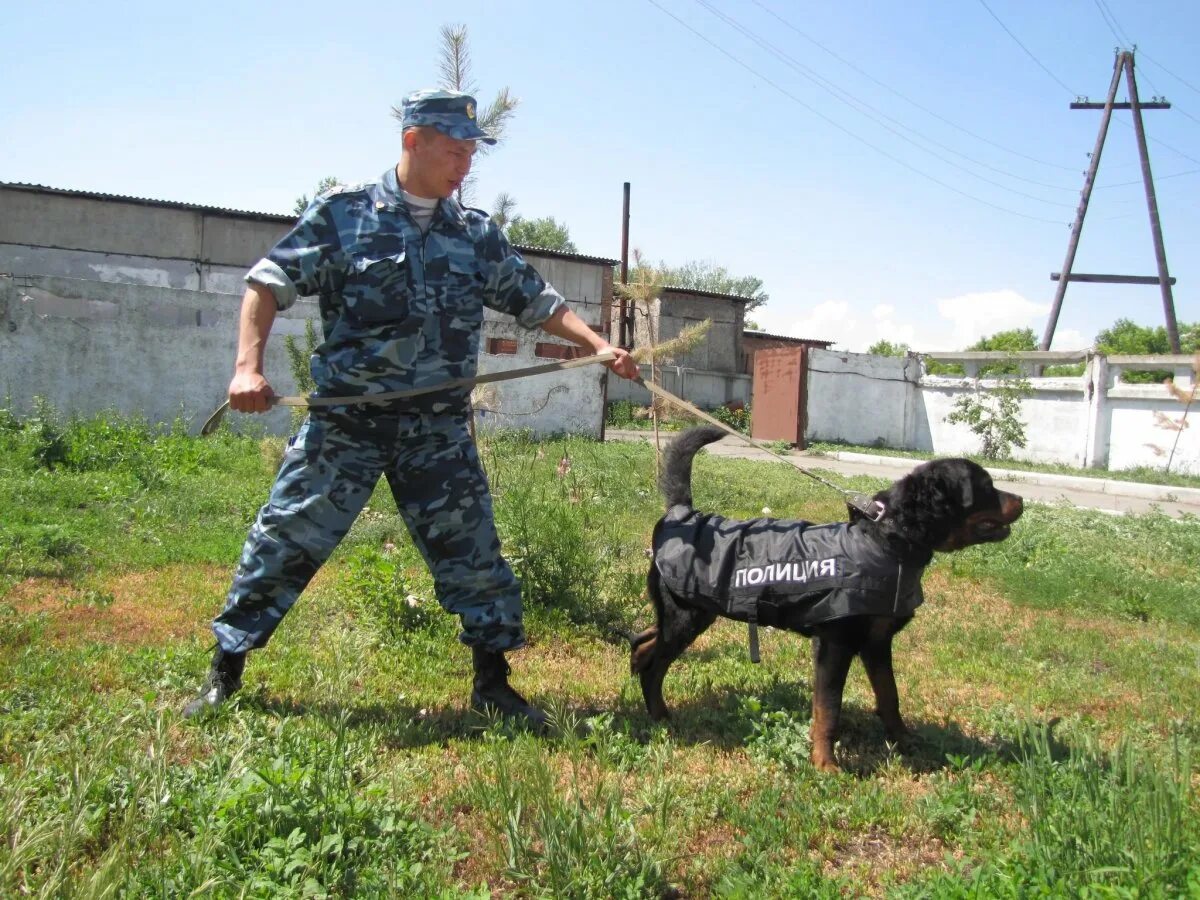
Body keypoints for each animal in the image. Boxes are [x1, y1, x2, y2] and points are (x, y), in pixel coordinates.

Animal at [628, 427, 1022, 772]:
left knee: (644, 643)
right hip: (685, 618)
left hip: (690, 615)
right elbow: (828, 709)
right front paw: (825, 763)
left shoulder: (877, 643)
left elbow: (889, 696)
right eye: (986, 487)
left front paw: (904, 741)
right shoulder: (835, 644)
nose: (1021, 500)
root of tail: (683, 514)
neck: (887, 542)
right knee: (654, 664)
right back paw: (660, 715)